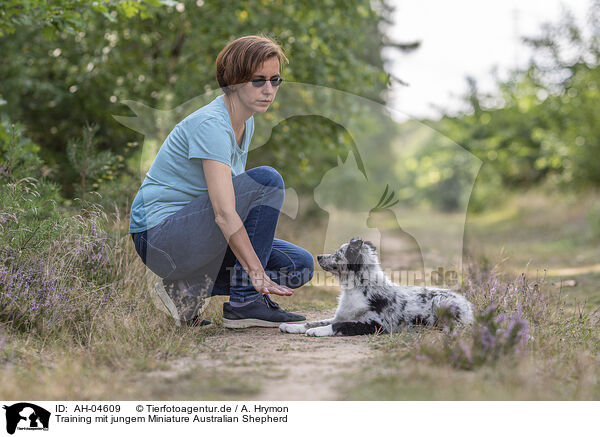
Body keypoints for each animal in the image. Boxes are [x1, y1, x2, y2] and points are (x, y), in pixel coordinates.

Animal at [280, 237, 474, 336]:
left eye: (338, 254)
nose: (319, 257)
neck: (357, 287)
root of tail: (468, 305)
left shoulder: (376, 324)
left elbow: (339, 326)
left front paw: (317, 331)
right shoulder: (342, 315)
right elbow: (315, 321)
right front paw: (292, 327)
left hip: (441, 302)